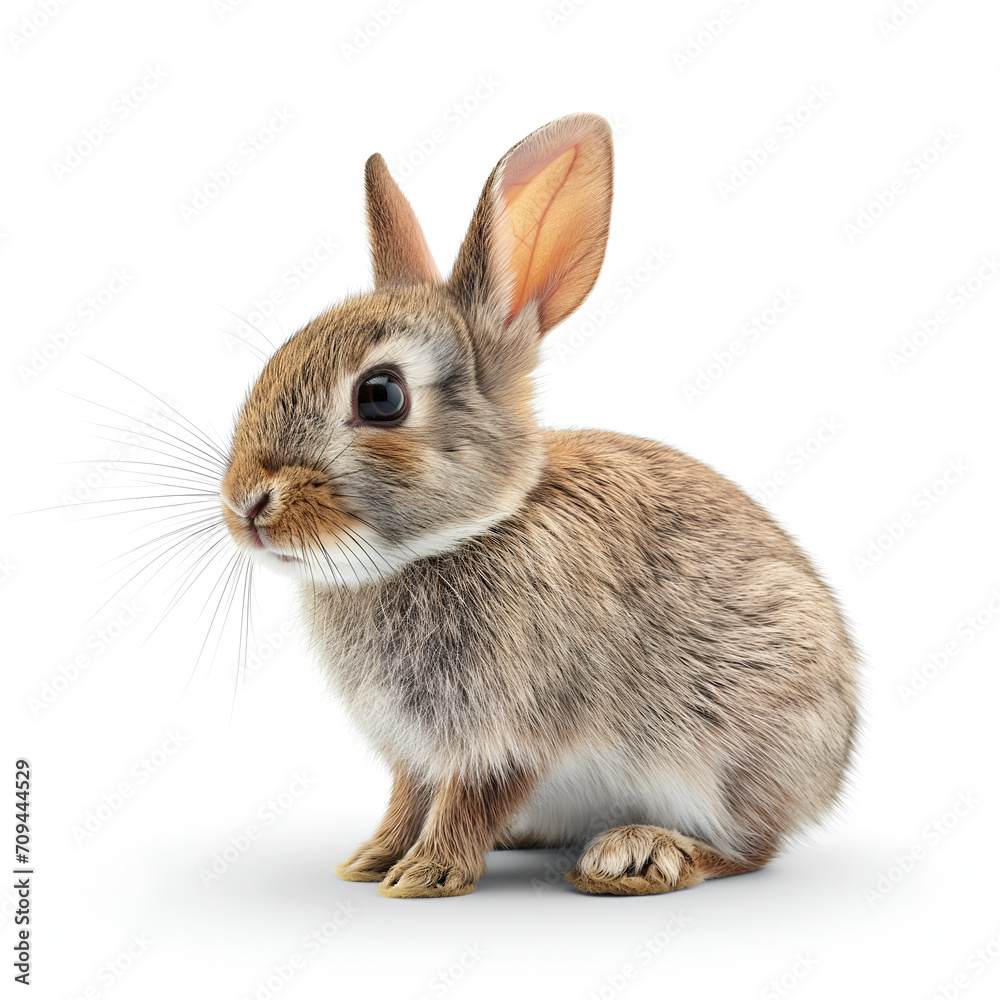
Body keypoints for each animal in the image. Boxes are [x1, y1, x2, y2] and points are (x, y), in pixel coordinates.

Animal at [219, 112, 859, 898]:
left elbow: (472, 798)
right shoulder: (416, 749)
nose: (246, 505)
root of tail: (828, 772)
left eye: (381, 395)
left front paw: (427, 875)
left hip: (731, 757)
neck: (467, 533)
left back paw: (639, 855)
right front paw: (371, 861)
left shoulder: (514, 731)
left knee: (753, 848)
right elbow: (407, 797)